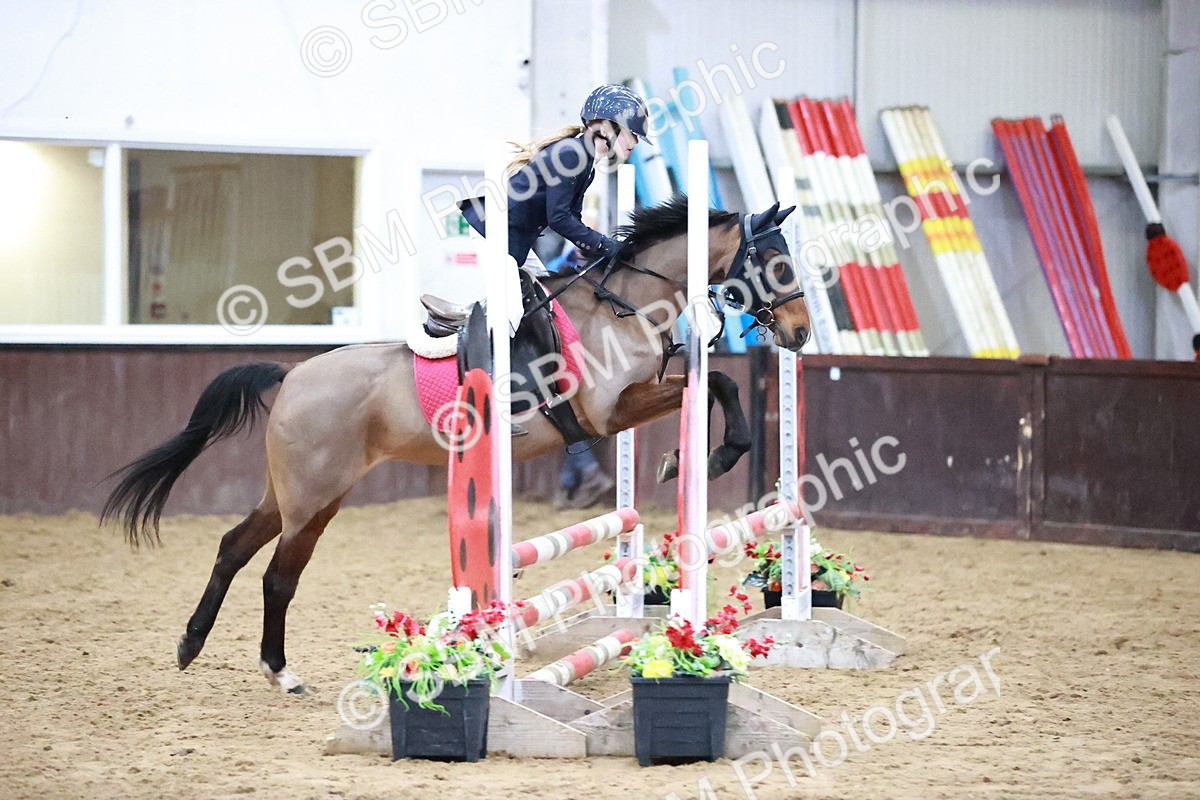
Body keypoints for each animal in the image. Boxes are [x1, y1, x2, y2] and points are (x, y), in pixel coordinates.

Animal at [101, 196, 810, 693]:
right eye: (775, 263)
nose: (801, 332)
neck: (625, 303)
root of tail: (291, 376)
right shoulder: (607, 413)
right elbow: (716, 381)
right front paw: (703, 456)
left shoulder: (634, 399)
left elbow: (715, 381)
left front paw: (693, 456)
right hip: (312, 498)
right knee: (278, 576)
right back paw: (280, 671)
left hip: (300, 496)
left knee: (232, 547)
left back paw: (191, 645)